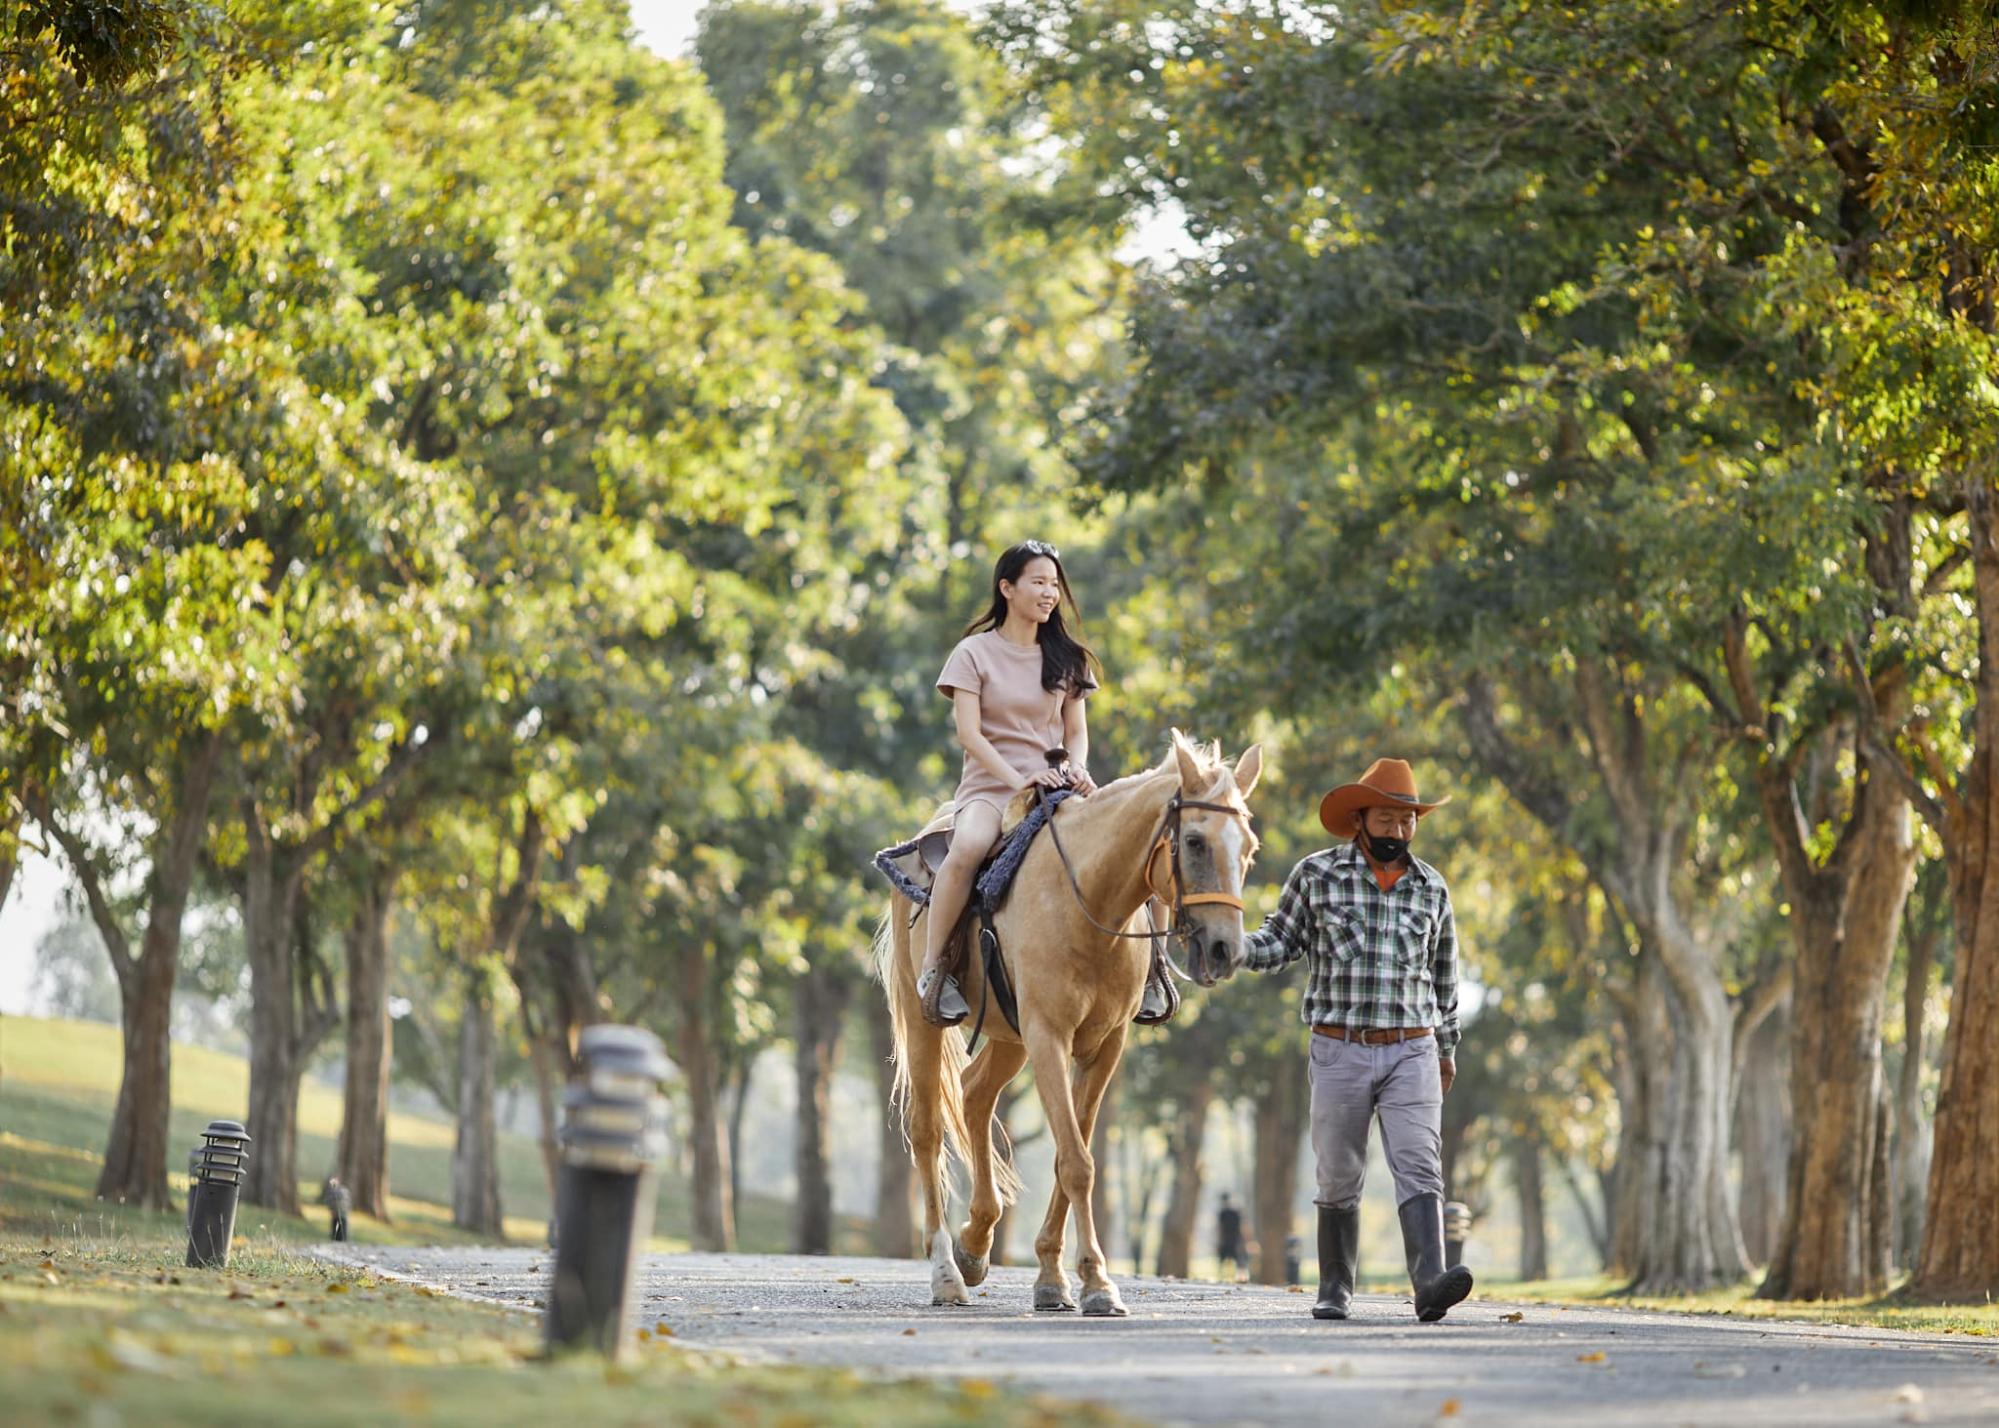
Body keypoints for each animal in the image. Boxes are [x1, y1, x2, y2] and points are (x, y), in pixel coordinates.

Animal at [879, 736, 1263, 1312]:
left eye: (1250, 848)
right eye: (1194, 841)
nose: (1225, 950)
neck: (1087, 900)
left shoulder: (1103, 1047)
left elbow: (1070, 1154)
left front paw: (1058, 1279)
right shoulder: (1049, 1037)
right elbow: (1078, 1162)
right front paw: (1096, 1283)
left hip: (1010, 1037)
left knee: (974, 1094)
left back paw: (976, 1244)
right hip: (924, 1015)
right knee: (926, 1130)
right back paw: (947, 1271)